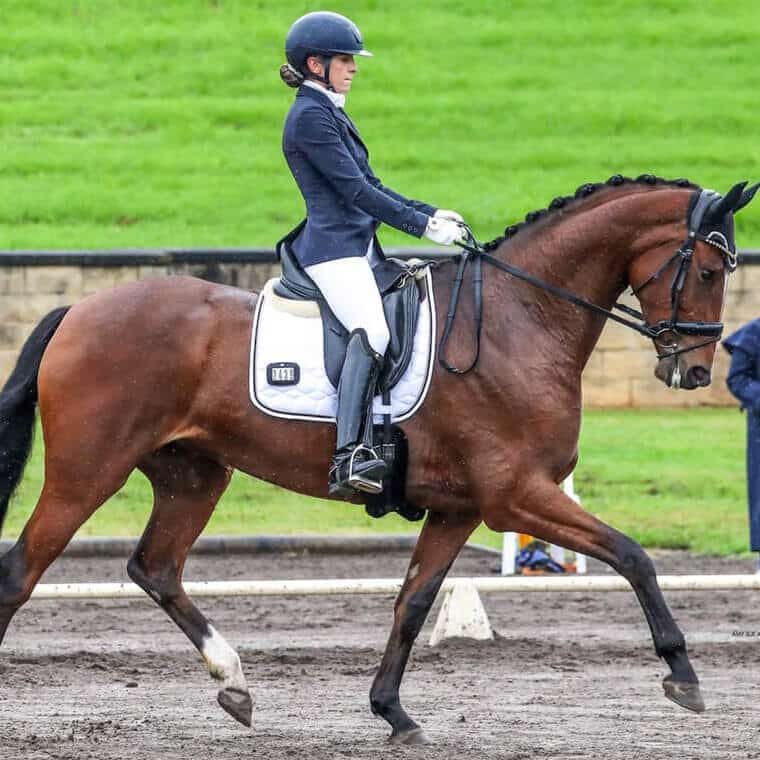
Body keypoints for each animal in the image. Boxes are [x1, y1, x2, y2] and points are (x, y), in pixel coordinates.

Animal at [0, 175, 757, 744]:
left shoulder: (460, 508)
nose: (693, 373)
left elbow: (413, 602)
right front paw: (683, 675)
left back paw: (236, 682)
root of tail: (77, 310)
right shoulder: (517, 494)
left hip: (194, 474)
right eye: (708, 269)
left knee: (155, 567)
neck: (519, 319)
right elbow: (634, 555)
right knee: (21, 572)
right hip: (88, 471)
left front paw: (393, 713)